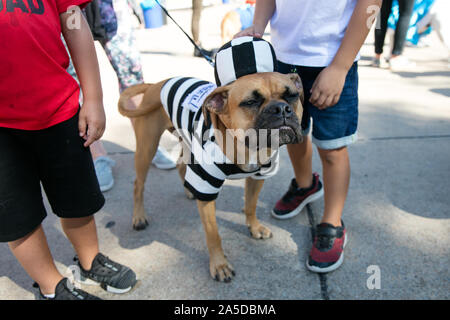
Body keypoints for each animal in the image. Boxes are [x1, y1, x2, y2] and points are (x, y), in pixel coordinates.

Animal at [118, 38, 304, 282]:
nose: (281, 108)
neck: (245, 147)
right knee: (138, 184)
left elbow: (251, 205)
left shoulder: (257, 177)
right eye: (251, 102)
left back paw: (188, 191)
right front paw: (219, 265)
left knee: (180, 165)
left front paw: (254, 227)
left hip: (186, 142)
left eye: (292, 95)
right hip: (147, 147)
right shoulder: (207, 188)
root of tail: (155, 85)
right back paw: (139, 217)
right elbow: (213, 234)